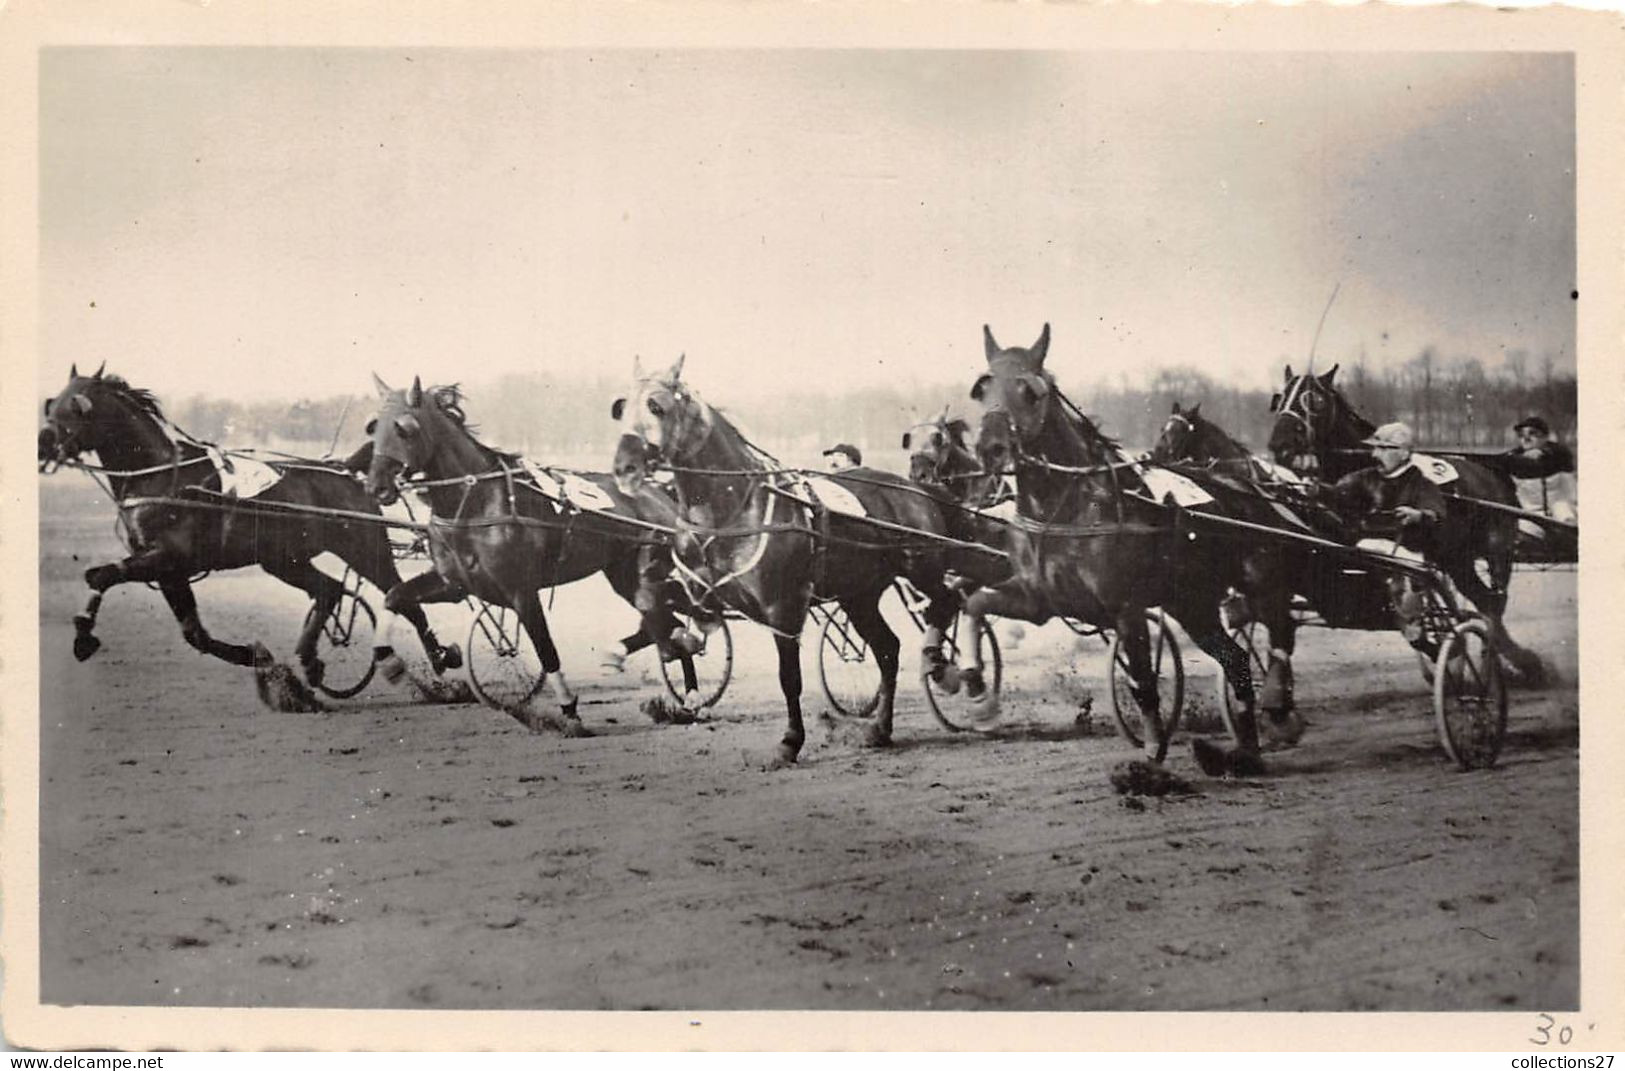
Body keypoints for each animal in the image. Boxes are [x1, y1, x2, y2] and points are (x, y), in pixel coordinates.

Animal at [33, 364, 464, 708]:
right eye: (51, 404)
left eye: (78, 407)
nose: (43, 443)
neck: (162, 476)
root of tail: (347, 471)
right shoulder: (168, 570)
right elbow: (194, 634)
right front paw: (263, 662)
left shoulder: (168, 558)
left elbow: (101, 575)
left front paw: (83, 636)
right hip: (283, 560)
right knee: (328, 591)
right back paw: (309, 661)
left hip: (363, 548)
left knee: (404, 599)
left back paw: (441, 662)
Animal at [364, 377, 705, 737]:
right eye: (374, 427)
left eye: (405, 428)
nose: (376, 487)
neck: (476, 504)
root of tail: (661, 495)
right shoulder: (456, 584)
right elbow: (395, 595)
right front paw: (396, 661)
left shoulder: (521, 591)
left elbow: (546, 649)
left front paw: (570, 712)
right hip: (623, 575)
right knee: (669, 622)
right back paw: (683, 694)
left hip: (646, 564)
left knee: (669, 618)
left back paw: (686, 686)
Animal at [611, 355, 988, 767]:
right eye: (622, 408)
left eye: (656, 406)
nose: (624, 466)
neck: (734, 510)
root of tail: (917, 489)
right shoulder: (702, 592)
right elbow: (652, 599)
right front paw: (678, 645)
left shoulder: (784, 607)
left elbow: (788, 677)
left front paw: (790, 742)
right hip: (859, 593)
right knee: (888, 649)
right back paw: (880, 729)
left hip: (922, 567)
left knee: (946, 600)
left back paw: (940, 665)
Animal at [955, 323, 1300, 773]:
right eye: (983, 388)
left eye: (1030, 391)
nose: (991, 448)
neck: (1069, 507)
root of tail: (1251, 486)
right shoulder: (1038, 600)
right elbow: (975, 605)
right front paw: (979, 698)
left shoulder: (1125, 607)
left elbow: (1142, 680)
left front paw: (1152, 750)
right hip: (1192, 602)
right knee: (1237, 661)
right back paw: (1245, 750)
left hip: (1260, 575)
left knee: (1280, 627)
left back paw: (1278, 704)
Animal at [1261, 362, 1540, 679]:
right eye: (1280, 399)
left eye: (1313, 400)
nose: (1280, 444)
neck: (1364, 464)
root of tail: (1493, 471)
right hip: (1457, 558)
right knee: (1483, 599)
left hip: (1497, 549)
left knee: (1495, 601)